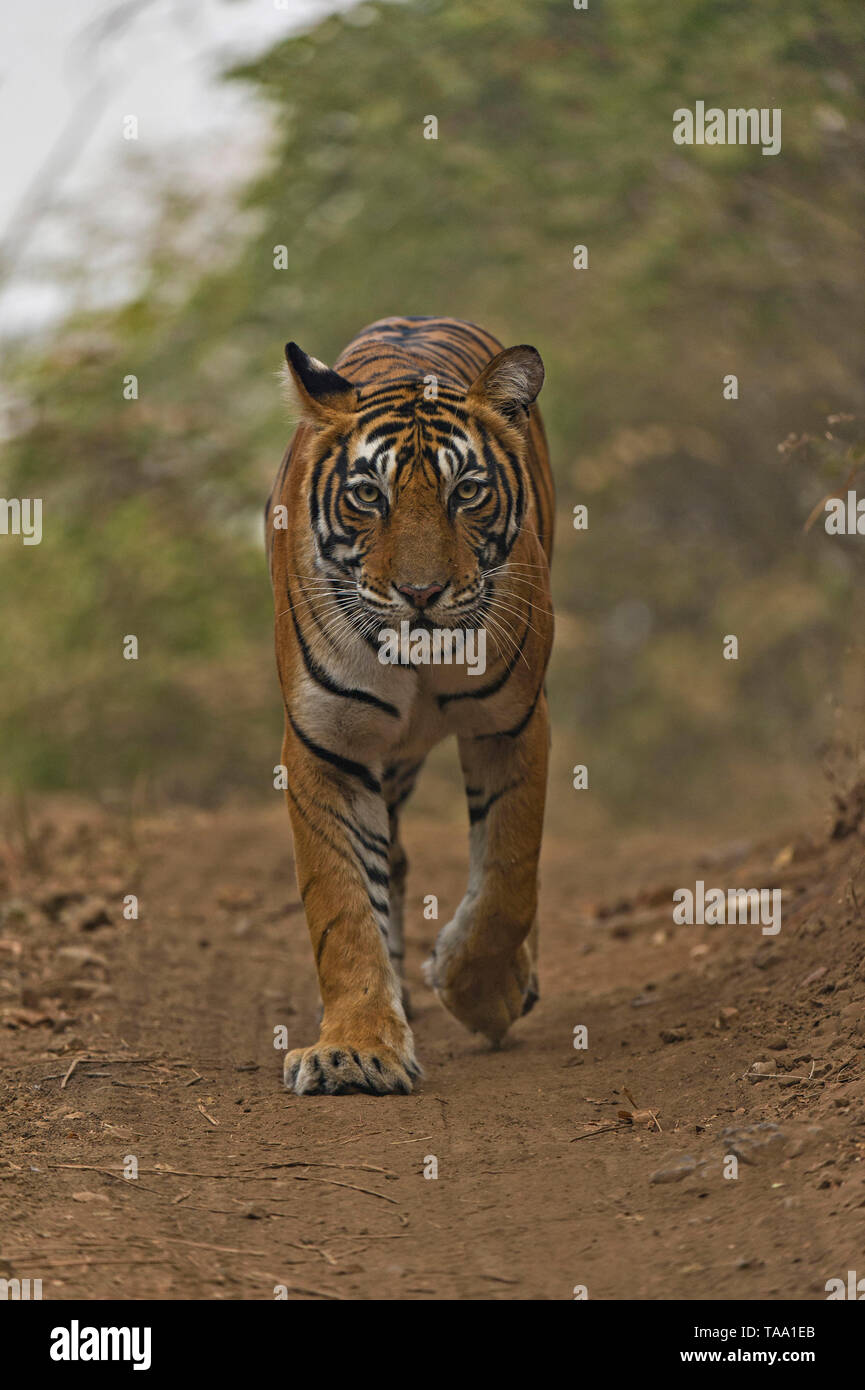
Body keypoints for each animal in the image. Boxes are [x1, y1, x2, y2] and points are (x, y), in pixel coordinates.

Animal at [264, 318, 559, 1095]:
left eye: (467, 492)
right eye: (370, 495)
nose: (421, 593)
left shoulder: (513, 724)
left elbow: (507, 878)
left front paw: (482, 992)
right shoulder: (327, 745)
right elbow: (341, 907)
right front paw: (356, 1049)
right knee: (388, 863)